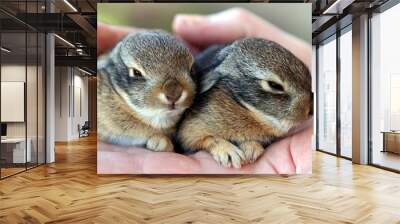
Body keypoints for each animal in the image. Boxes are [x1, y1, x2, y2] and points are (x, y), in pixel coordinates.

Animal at [178, 38, 312, 168]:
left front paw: (251, 150)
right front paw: (230, 153)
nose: (310, 110)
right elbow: (210, 139)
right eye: (274, 85)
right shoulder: (190, 132)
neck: (244, 107)